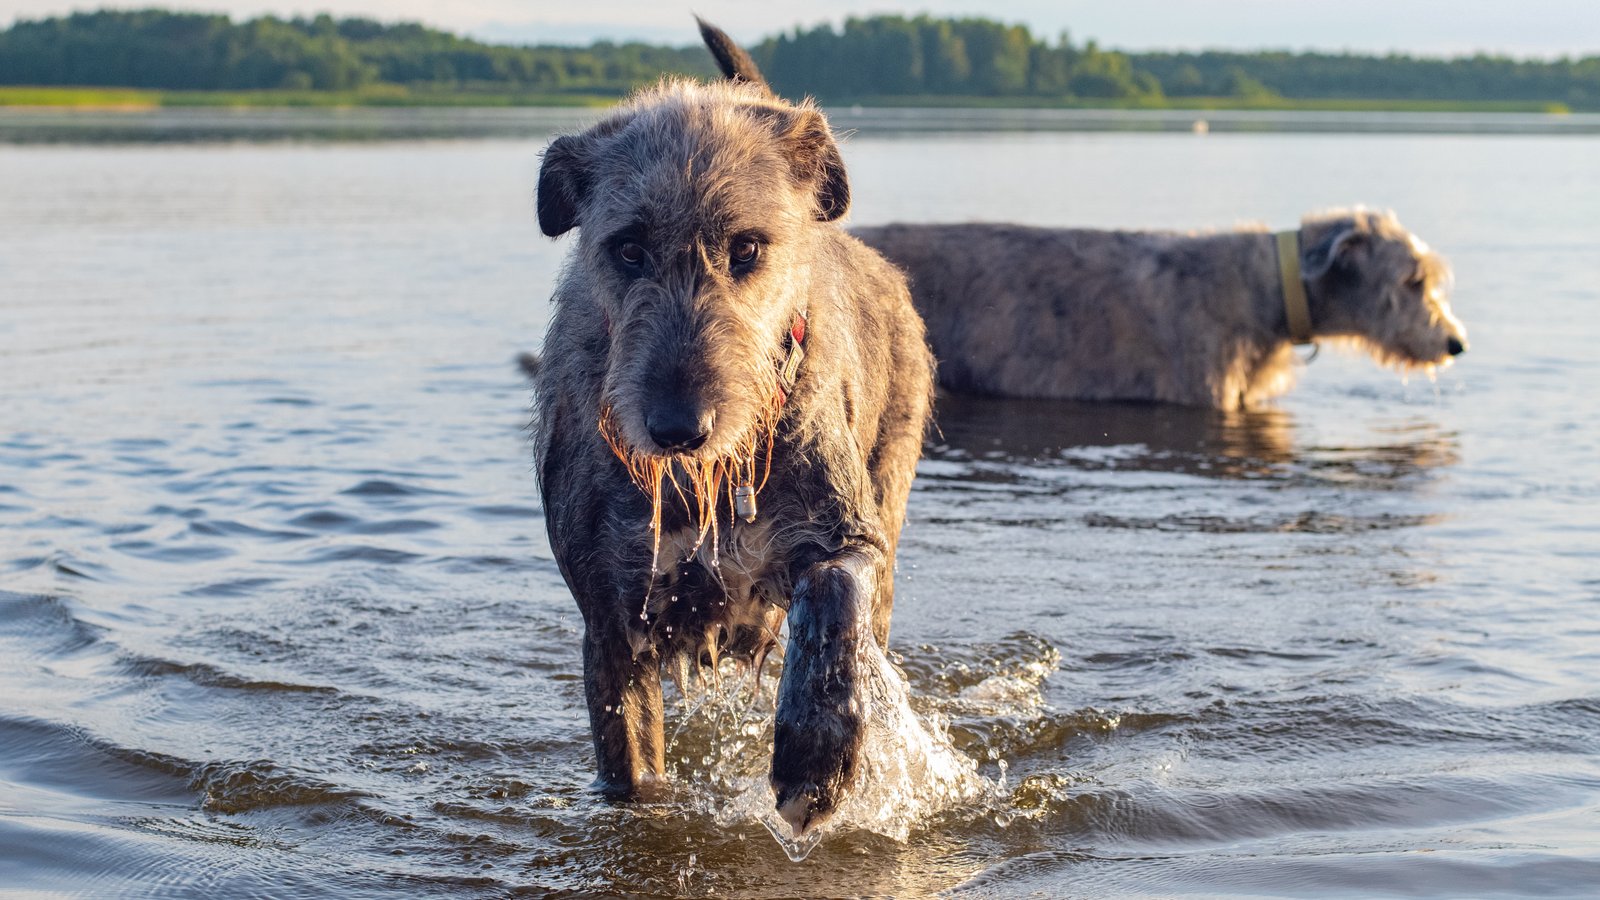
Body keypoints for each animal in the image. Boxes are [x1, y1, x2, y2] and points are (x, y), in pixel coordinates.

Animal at [531, 21, 934, 832]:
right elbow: (630, 764)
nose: (678, 428)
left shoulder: (845, 532)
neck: (701, 483)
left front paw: (814, 756)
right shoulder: (612, 620)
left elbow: (834, 590)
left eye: (747, 247)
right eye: (627, 247)